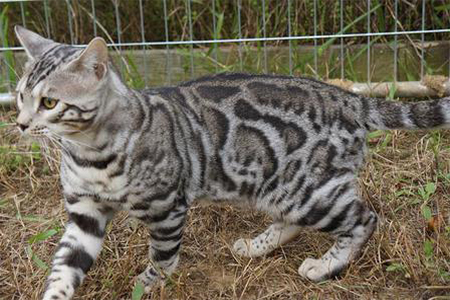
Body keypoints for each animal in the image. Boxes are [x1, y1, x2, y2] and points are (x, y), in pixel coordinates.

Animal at [14, 26, 450, 300]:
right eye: (19, 96)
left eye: (49, 102)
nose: (19, 123)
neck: (89, 154)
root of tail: (351, 99)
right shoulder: (83, 213)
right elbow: (65, 265)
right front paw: (54, 292)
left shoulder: (168, 208)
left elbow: (163, 257)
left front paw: (149, 282)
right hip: (280, 187)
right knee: (294, 221)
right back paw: (257, 246)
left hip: (307, 192)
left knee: (365, 218)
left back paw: (326, 265)